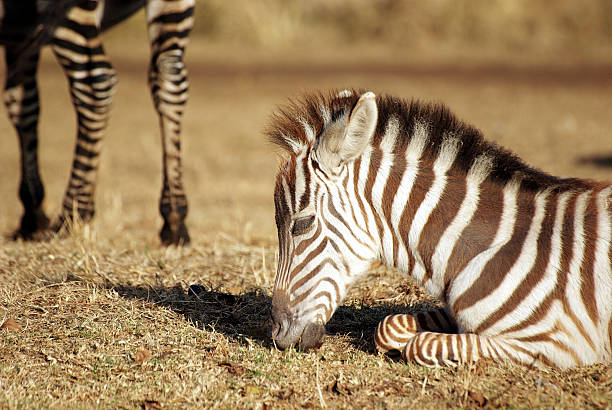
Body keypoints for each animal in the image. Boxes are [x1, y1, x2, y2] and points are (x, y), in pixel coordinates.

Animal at [268, 89, 612, 368]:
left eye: (302, 224)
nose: (277, 336)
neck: (483, 245)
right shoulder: (454, 313)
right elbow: (388, 326)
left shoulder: (556, 343)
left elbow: (421, 344)